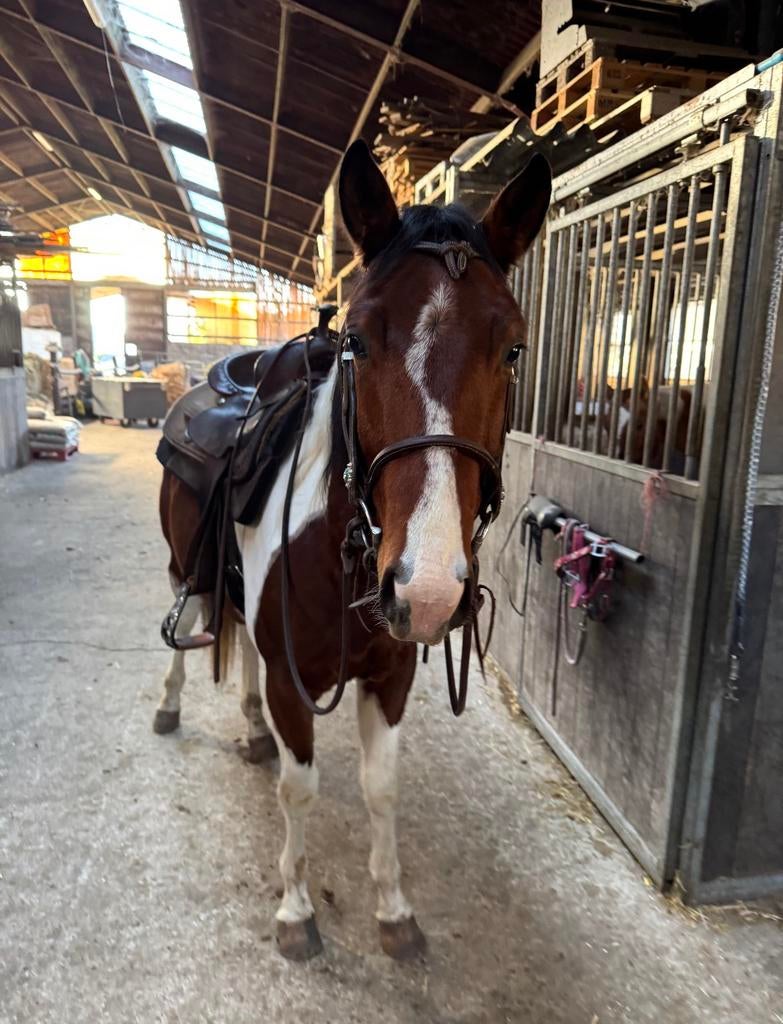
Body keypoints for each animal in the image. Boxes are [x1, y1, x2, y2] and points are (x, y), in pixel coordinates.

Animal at [155, 140, 552, 961]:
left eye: (513, 346)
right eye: (358, 340)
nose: (425, 589)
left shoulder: (390, 676)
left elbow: (382, 788)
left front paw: (395, 911)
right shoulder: (293, 683)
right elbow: (299, 789)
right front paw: (294, 911)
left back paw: (250, 731)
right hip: (186, 570)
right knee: (187, 634)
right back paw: (170, 708)